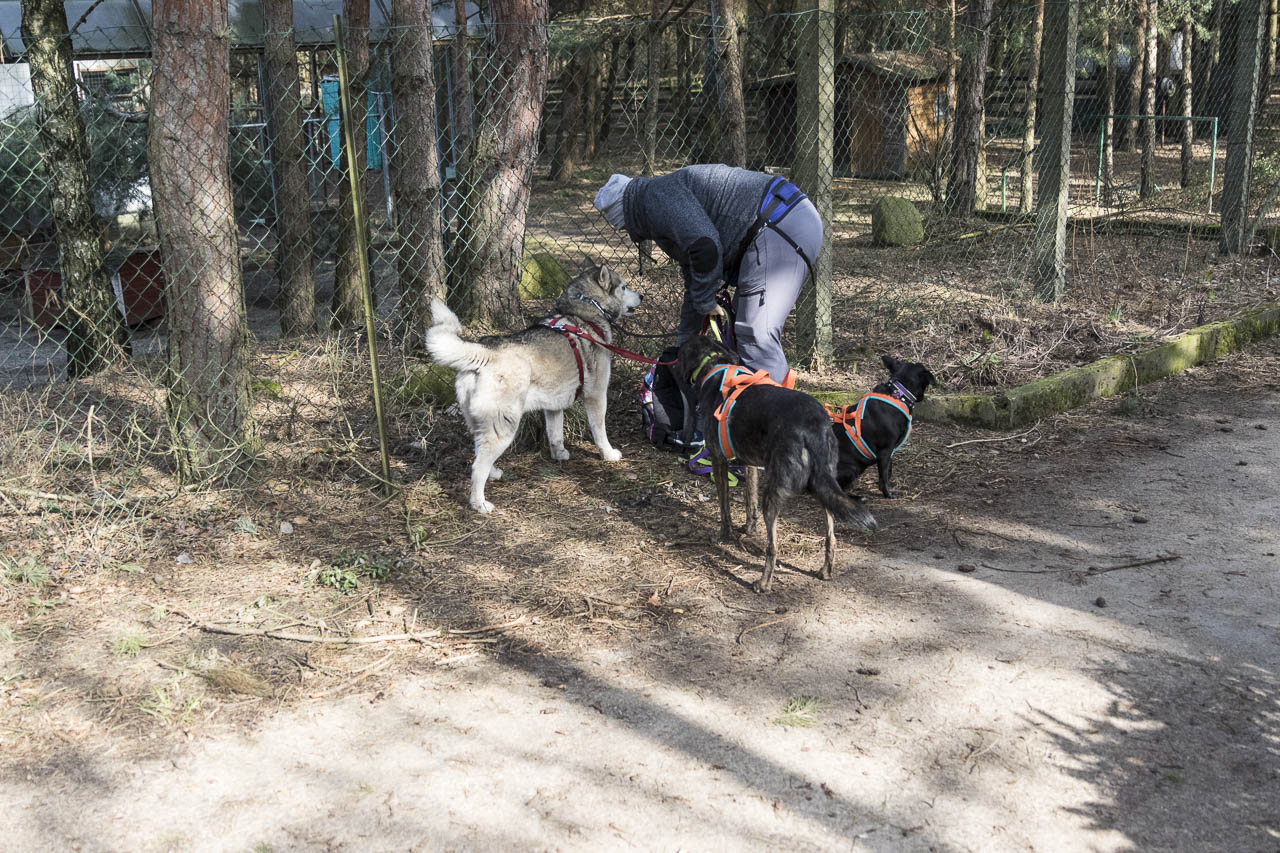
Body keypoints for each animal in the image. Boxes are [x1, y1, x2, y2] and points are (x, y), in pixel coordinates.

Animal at [425, 264, 643, 513]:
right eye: (624, 286)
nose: (641, 296)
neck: (588, 308)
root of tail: (486, 351)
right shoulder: (596, 395)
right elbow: (599, 431)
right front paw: (608, 454)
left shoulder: (554, 405)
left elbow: (555, 434)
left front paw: (559, 454)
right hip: (504, 426)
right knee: (477, 466)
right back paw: (479, 503)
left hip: (480, 424)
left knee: (479, 452)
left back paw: (493, 473)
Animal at [677, 335, 878, 593]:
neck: (715, 365)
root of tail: (814, 424)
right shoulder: (750, 463)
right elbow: (749, 501)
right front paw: (748, 529)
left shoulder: (718, 460)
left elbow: (724, 507)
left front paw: (724, 536)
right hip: (824, 484)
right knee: (831, 536)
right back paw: (825, 571)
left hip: (775, 493)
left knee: (773, 546)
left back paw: (763, 583)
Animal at [830, 355, 935, 499]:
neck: (899, 393)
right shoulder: (885, 451)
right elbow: (884, 475)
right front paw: (888, 494)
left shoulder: (889, 452)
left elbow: (889, 470)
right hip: (851, 469)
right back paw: (859, 498)